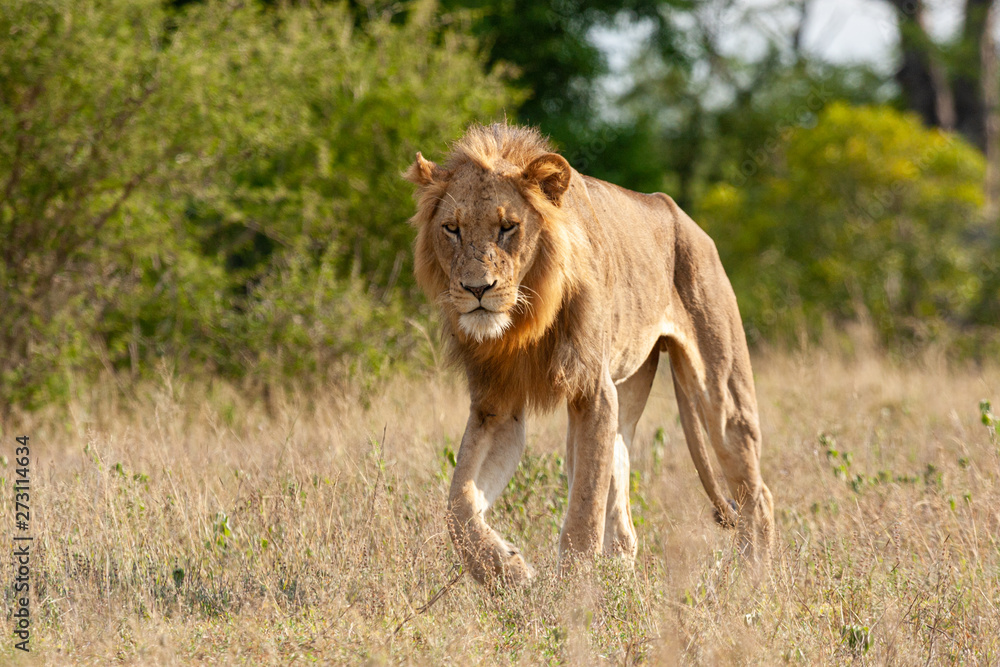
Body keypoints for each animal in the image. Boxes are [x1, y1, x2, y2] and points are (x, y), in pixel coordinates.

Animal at [404, 121, 772, 584]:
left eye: (508, 227)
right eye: (451, 228)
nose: (476, 289)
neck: (524, 322)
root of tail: (679, 214)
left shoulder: (593, 393)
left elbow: (583, 511)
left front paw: (572, 591)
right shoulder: (496, 407)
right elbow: (458, 505)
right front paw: (507, 571)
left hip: (720, 391)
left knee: (758, 494)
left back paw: (750, 578)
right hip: (626, 393)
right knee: (625, 517)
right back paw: (621, 579)